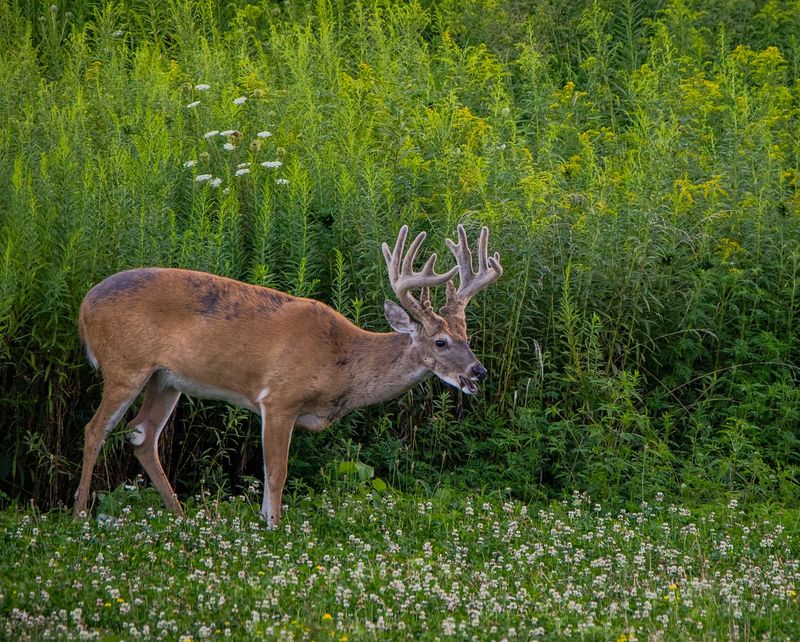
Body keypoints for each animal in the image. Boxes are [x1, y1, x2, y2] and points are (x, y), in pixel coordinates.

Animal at [73, 224, 500, 524]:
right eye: (441, 342)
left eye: (467, 336)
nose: (478, 371)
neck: (342, 361)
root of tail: (84, 306)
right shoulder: (279, 399)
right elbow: (276, 472)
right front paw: (273, 526)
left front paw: (267, 521)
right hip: (125, 366)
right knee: (95, 429)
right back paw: (79, 515)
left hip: (165, 379)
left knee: (142, 434)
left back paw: (180, 516)